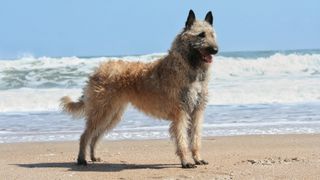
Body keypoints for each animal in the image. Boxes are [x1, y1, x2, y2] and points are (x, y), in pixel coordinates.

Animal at [61, 9, 219, 168]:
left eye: (212, 34)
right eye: (201, 34)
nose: (215, 50)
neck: (189, 66)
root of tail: (96, 71)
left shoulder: (197, 111)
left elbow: (196, 138)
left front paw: (198, 158)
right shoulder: (180, 112)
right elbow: (182, 140)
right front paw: (186, 161)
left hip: (112, 114)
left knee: (95, 136)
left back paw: (93, 156)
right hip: (102, 111)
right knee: (85, 135)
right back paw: (81, 159)